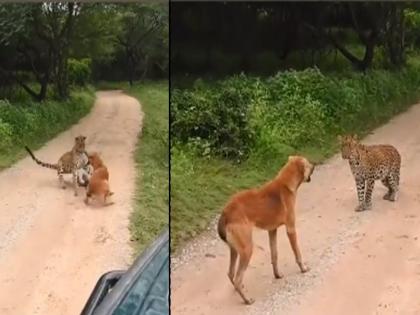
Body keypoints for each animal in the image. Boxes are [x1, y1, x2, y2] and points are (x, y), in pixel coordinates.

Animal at [218, 157, 314, 304]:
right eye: (308, 163)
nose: (314, 165)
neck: (285, 184)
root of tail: (225, 213)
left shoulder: (272, 231)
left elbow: (274, 255)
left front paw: (277, 275)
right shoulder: (291, 229)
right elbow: (297, 253)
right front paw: (303, 268)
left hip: (234, 250)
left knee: (231, 274)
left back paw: (239, 290)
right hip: (247, 249)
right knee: (238, 278)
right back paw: (247, 300)